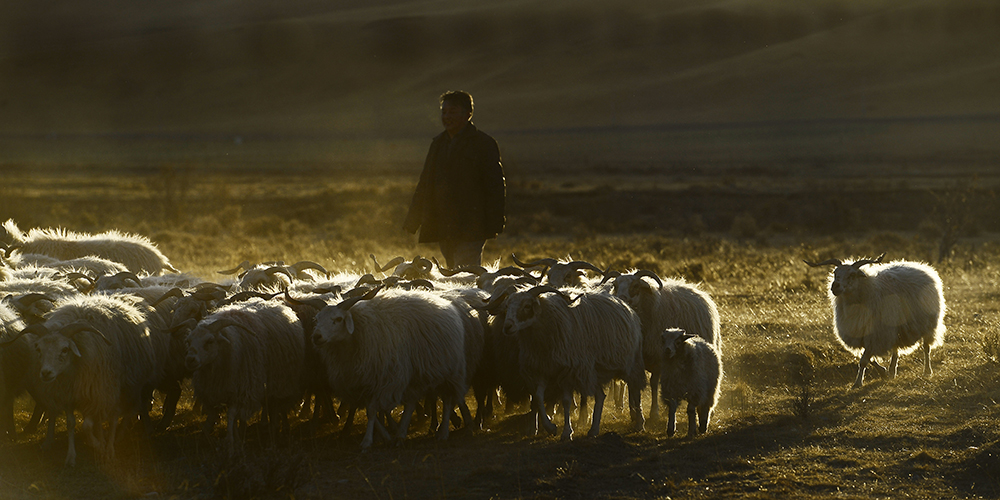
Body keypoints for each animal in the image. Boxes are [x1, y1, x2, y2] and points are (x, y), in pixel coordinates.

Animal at [312, 284, 468, 452]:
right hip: (416, 373)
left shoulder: (384, 379)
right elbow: (371, 411)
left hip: (450, 370)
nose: (316, 336)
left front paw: (367, 441)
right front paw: (386, 437)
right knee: (411, 402)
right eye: (317, 319)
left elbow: (372, 410)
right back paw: (400, 435)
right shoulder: (360, 383)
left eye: (338, 319)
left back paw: (443, 432)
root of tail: (444, 303)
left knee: (447, 400)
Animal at [486, 286, 644, 442]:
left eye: (527, 306)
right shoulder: (542, 369)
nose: (507, 327)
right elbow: (538, 397)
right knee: (600, 396)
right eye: (507, 306)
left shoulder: (568, 371)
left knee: (635, 388)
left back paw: (640, 423)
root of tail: (625, 306)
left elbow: (566, 401)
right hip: (592, 371)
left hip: (630, 364)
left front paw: (567, 432)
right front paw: (550, 427)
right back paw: (593, 430)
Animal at [600, 270, 720, 422]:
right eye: (615, 285)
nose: (621, 299)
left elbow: (654, 383)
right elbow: (632, 383)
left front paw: (654, 412)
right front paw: (634, 412)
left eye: (635, 285)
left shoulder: (658, 357)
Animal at [804, 254, 944, 386]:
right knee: (895, 350)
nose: (835, 286)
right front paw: (883, 372)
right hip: (895, 328)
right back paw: (892, 371)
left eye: (852, 275)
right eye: (835, 273)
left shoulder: (875, 335)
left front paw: (858, 383)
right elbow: (869, 359)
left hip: (928, 324)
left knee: (926, 348)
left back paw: (927, 371)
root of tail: (921, 266)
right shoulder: (865, 335)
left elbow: (864, 361)